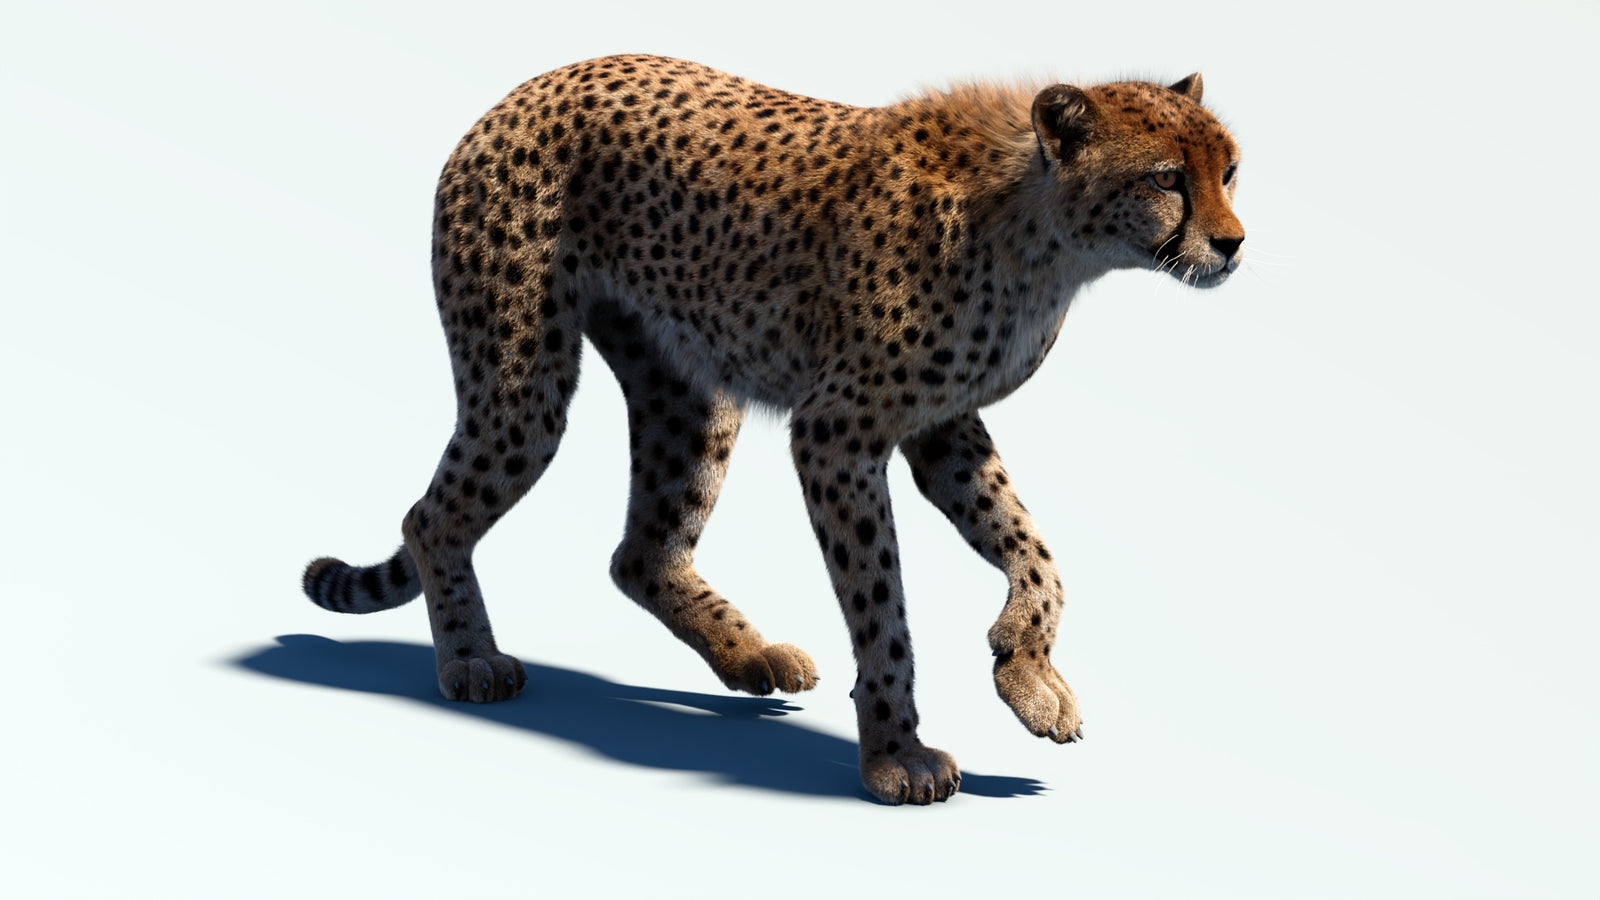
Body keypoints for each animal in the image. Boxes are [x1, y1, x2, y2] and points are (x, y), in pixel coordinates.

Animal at [302, 54, 1244, 805]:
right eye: (1167, 177)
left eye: (1231, 169)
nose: (1233, 243)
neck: (1043, 232)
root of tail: (525, 89)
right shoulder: (838, 433)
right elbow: (882, 605)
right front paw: (898, 754)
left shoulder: (941, 425)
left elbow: (1033, 546)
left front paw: (1028, 671)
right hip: (523, 379)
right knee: (432, 517)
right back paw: (471, 661)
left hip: (688, 392)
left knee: (640, 552)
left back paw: (748, 655)